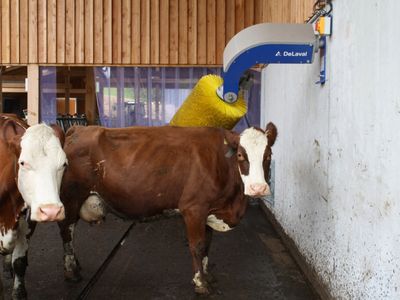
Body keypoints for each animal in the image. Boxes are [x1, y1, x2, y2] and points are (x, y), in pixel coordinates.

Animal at [0, 114, 67, 298]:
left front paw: (19, 293)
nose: (51, 211)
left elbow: (19, 262)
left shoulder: (28, 220)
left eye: (64, 164)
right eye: (23, 163)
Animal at [60, 123, 278, 294]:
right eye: (241, 155)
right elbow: (197, 246)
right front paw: (200, 283)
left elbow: (207, 244)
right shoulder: (193, 208)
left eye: (268, 155)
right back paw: (71, 272)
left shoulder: (209, 211)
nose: (258, 188)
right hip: (71, 198)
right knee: (66, 232)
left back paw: (76, 265)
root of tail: (77, 129)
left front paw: (207, 275)